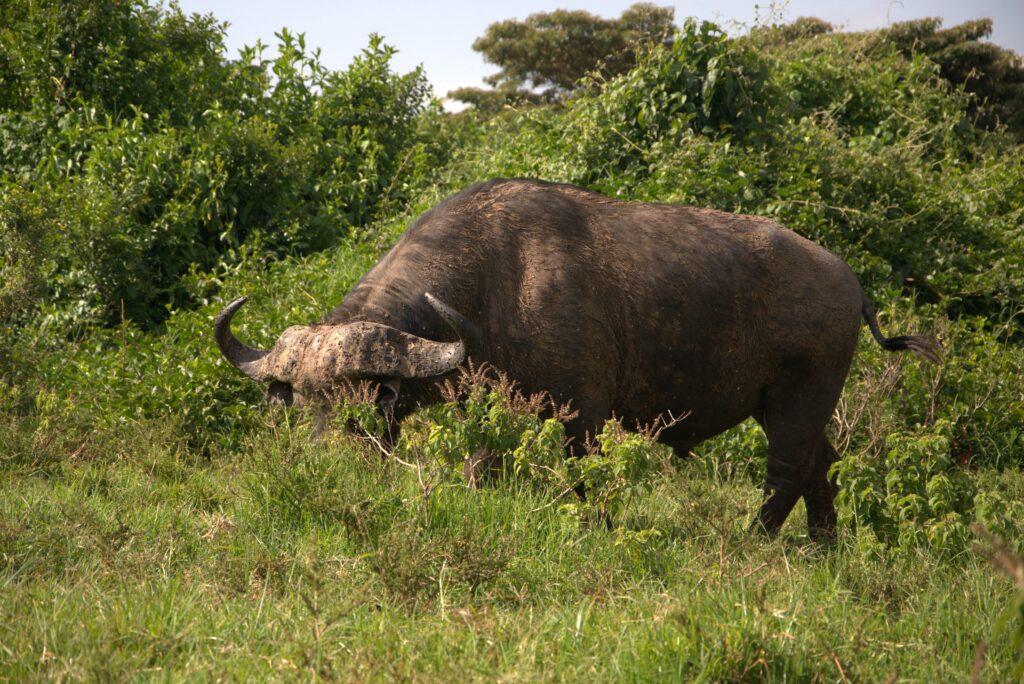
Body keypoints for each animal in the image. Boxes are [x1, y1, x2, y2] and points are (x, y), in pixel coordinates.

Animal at [215, 178, 939, 538]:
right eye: (296, 403)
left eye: (359, 406)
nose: (320, 464)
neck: (497, 281)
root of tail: (850, 281)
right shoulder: (492, 407)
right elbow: (483, 470)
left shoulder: (580, 414)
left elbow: (583, 480)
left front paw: (594, 529)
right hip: (787, 406)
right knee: (823, 466)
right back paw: (823, 545)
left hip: (798, 400)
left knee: (785, 472)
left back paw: (754, 540)